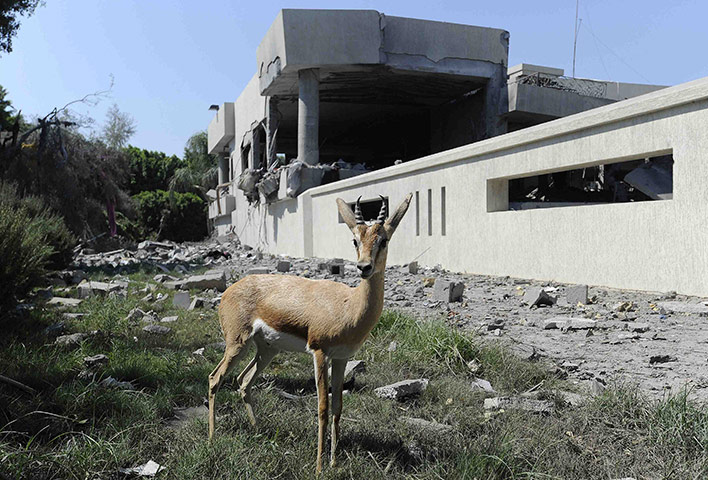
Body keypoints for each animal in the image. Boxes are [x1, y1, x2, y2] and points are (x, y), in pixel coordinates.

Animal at [208, 192, 412, 474]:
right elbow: (323, 407)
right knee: (214, 378)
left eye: (384, 239)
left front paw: (334, 460)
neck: (348, 306)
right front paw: (318, 466)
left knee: (243, 380)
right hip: (236, 344)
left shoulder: (342, 357)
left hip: (267, 350)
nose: (364, 267)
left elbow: (338, 406)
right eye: (355, 239)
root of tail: (230, 290)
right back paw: (211, 437)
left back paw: (257, 430)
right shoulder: (319, 352)